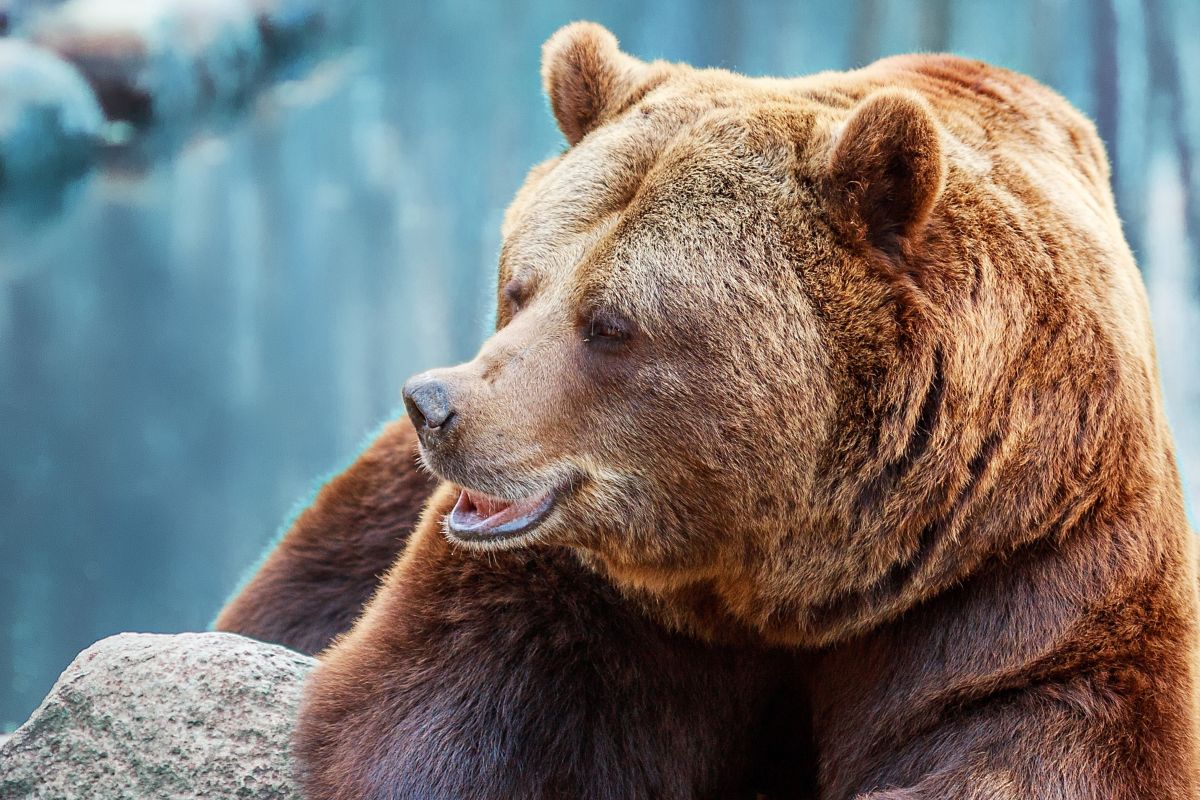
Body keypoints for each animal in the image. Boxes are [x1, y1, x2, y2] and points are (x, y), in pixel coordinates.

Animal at [224, 21, 1199, 800]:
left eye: (609, 324)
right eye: (519, 286)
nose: (436, 403)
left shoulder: (1018, 563)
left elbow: (1019, 735)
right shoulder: (592, 596)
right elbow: (456, 707)